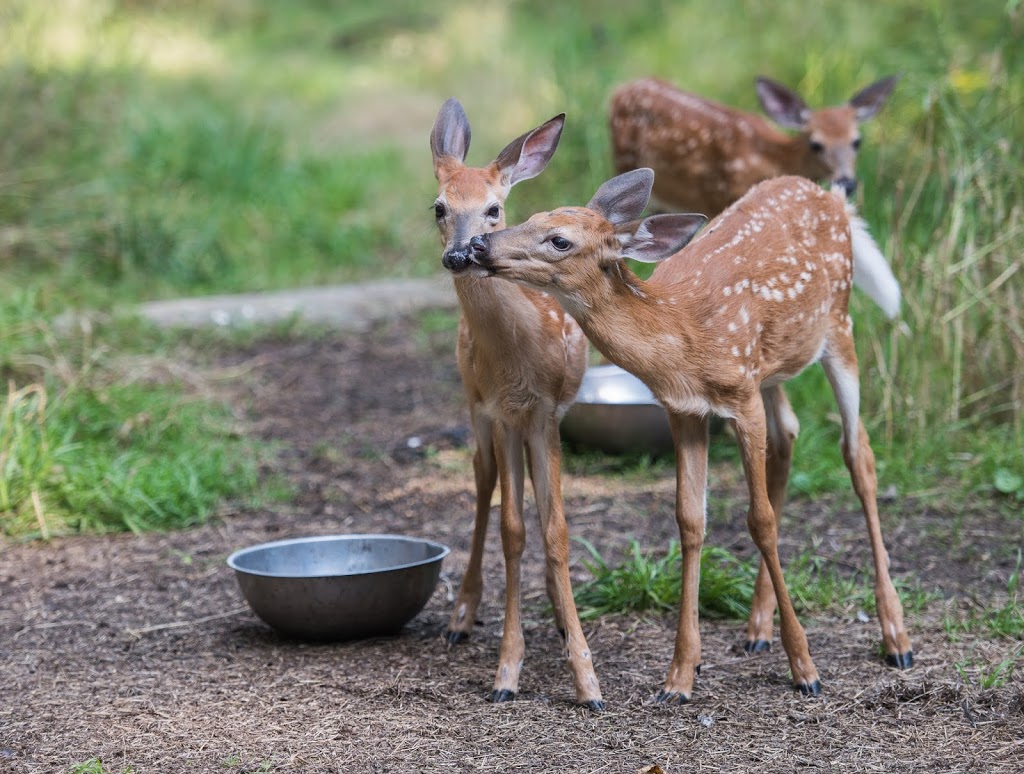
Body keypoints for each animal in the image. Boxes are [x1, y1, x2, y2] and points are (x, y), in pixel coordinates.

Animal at [428, 99, 602, 708]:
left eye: (494, 208)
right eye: (439, 207)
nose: (461, 254)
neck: (517, 355)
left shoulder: (546, 411)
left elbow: (555, 530)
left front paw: (587, 678)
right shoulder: (502, 412)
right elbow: (512, 530)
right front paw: (507, 670)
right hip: (473, 407)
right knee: (482, 484)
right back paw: (461, 615)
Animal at [464, 168, 913, 700]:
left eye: (559, 240)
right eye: (530, 216)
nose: (478, 245)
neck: (684, 337)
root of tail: (832, 197)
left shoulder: (741, 394)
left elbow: (760, 520)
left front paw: (805, 668)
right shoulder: (686, 411)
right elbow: (689, 520)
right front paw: (680, 675)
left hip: (838, 326)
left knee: (858, 455)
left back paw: (896, 638)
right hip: (775, 368)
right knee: (788, 437)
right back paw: (756, 629)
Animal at [606, 74, 897, 218]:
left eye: (857, 141)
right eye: (816, 144)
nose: (847, 183)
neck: (773, 159)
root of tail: (619, 90)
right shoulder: (728, 196)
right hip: (624, 162)